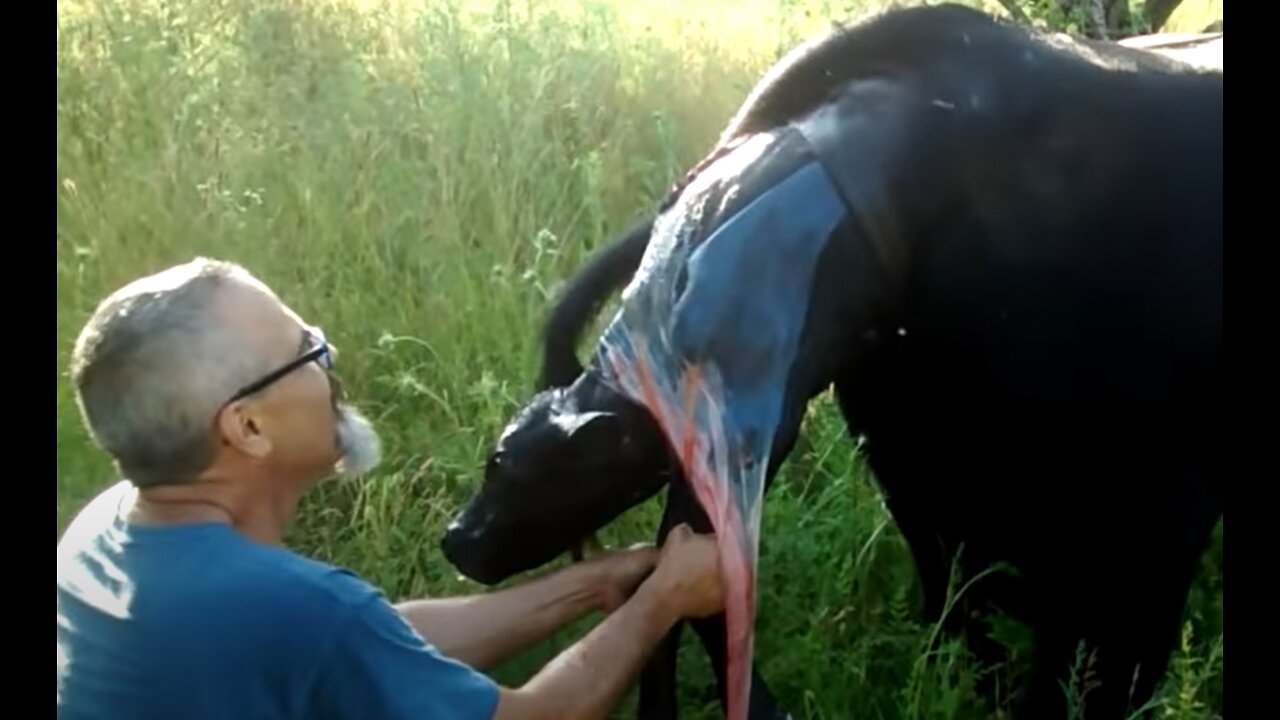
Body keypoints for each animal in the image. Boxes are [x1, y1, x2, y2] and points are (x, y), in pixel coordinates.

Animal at [442, 5, 1228, 717]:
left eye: (508, 467)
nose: (458, 540)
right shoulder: (913, 469)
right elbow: (958, 603)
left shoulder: (1160, 516)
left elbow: (1101, 671)